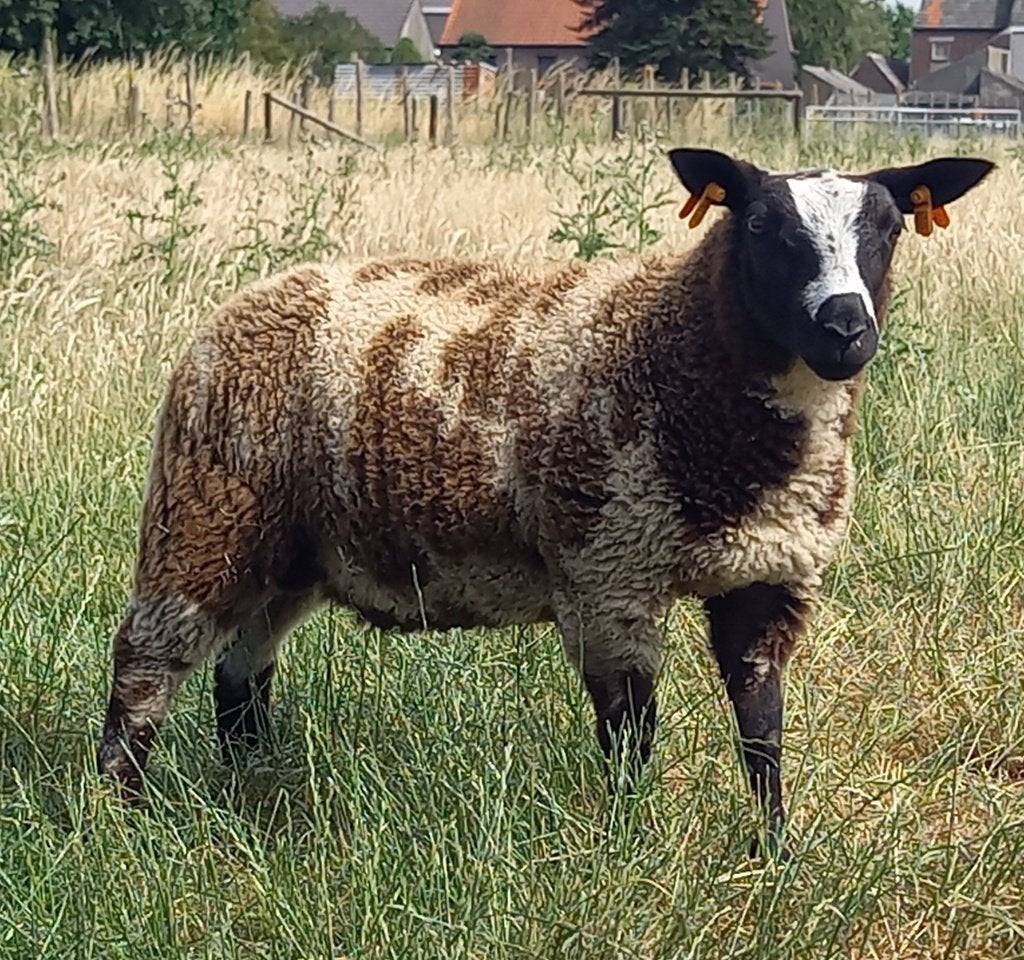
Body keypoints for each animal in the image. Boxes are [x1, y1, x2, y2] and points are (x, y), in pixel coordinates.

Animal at [97, 147, 992, 854]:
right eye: (765, 228)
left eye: (889, 229)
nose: (845, 329)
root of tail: (243, 303)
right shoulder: (609, 567)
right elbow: (630, 729)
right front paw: (634, 844)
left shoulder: (769, 574)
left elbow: (762, 730)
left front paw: (775, 853)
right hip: (206, 504)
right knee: (146, 660)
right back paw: (120, 814)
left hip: (293, 547)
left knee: (243, 669)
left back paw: (253, 783)